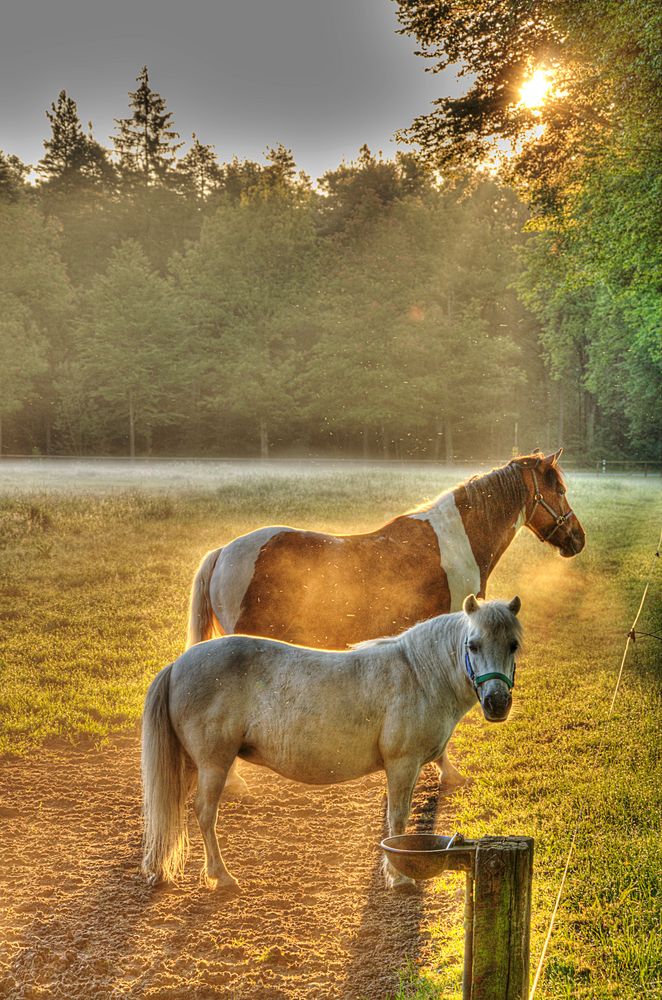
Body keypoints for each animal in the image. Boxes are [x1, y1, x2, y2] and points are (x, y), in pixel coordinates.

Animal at [141, 592, 524, 892]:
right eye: (473, 645)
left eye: (513, 646)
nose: (497, 703)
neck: (418, 674)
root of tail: (178, 664)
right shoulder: (403, 764)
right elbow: (397, 820)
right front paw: (397, 878)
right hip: (213, 764)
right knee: (205, 814)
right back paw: (220, 876)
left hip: (193, 765)